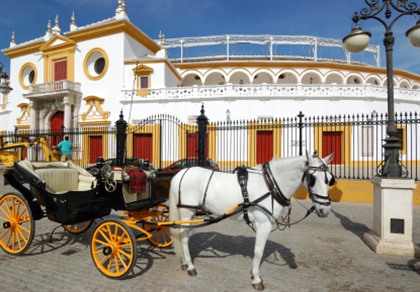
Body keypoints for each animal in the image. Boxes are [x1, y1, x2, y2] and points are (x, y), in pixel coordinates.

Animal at [168, 153, 334, 290]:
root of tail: (181, 173)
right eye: (312, 179)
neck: (270, 185)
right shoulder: (264, 224)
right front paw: (256, 278)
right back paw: (190, 266)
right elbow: (258, 251)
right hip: (187, 212)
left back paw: (184, 262)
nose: (325, 210)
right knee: (184, 237)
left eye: (329, 180)